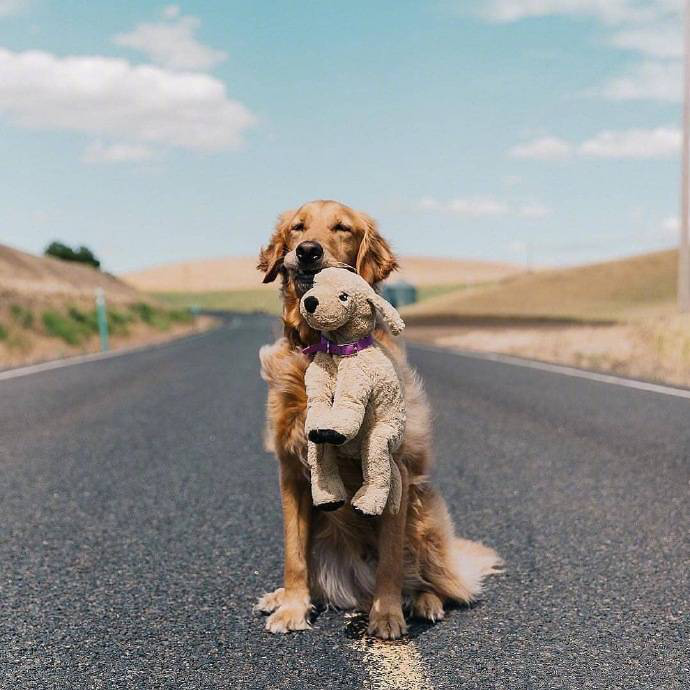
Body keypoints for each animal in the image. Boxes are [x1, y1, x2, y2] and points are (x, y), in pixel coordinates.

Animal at [255, 200, 498, 640]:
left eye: (342, 228)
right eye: (298, 227)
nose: (308, 251)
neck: (328, 349)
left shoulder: (393, 467)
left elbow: (390, 559)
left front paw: (386, 616)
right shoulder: (291, 468)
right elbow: (294, 553)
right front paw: (293, 606)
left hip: (425, 516)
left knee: (434, 580)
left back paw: (424, 601)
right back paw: (281, 596)